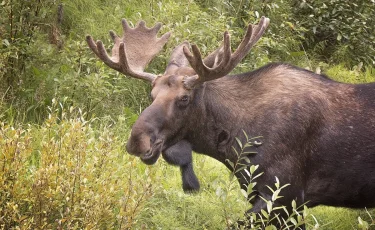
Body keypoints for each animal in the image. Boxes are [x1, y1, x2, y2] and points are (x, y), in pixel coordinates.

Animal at [86, 17, 375, 227]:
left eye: (184, 98)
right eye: (151, 94)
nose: (137, 140)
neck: (236, 140)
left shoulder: (285, 195)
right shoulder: (277, 200)